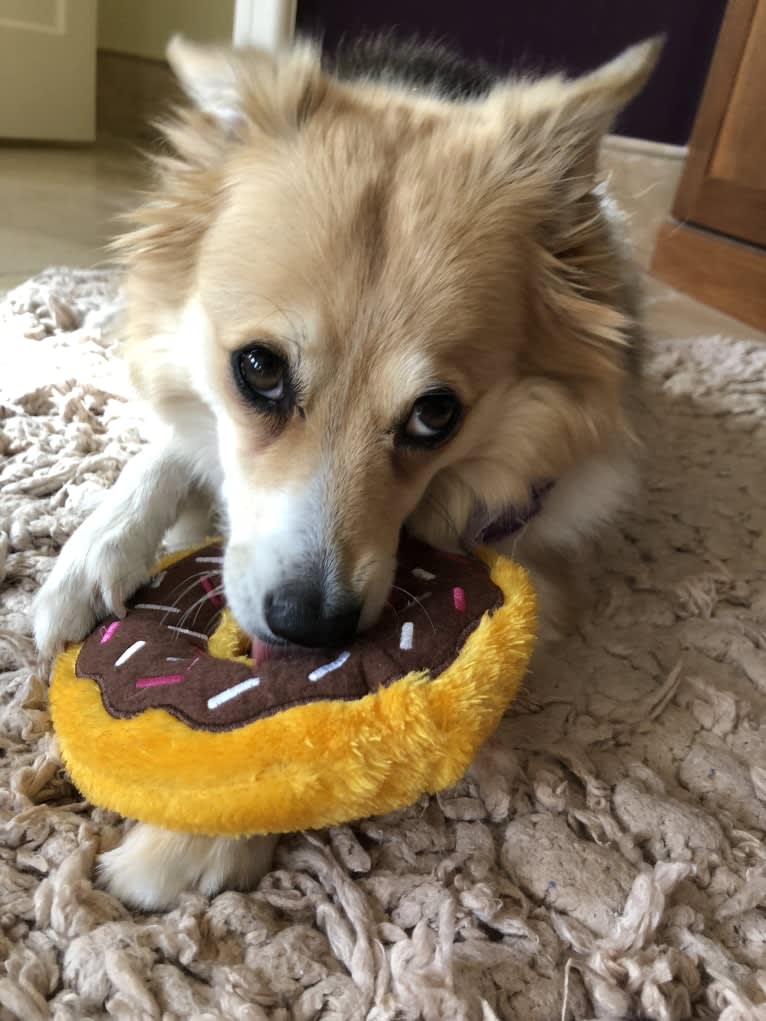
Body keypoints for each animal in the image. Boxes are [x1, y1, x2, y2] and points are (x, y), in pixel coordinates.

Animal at [34, 33, 661, 910]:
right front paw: (93, 553)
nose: (312, 623)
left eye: (437, 414)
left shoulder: (541, 543)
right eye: (259, 368)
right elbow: (172, 448)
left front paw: (192, 840)